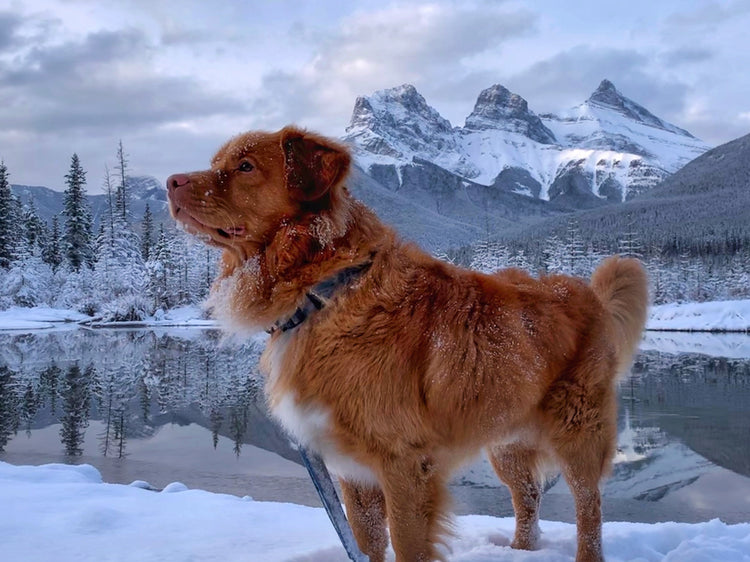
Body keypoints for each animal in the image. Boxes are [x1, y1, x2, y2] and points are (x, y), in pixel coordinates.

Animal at [167, 127, 648, 560]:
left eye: (245, 167)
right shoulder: (354, 470)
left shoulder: (405, 466)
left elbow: (406, 544)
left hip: (579, 432)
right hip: (507, 440)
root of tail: (585, 291)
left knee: (589, 507)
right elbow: (366, 542)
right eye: (215, 163)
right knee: (527, 495)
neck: (327, 290)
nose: (170, 181)